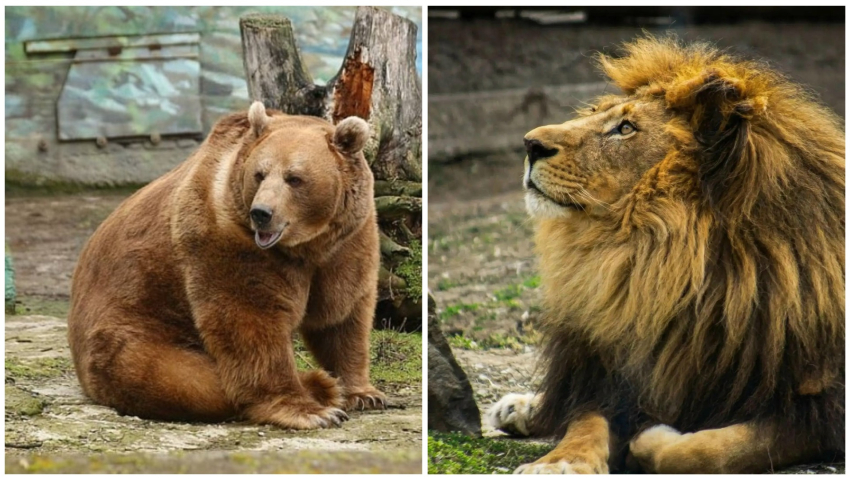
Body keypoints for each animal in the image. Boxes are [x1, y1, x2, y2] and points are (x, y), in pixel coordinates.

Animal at [68, 101, 386, 429]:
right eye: (260, 174)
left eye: (294, 177)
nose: (262, 213)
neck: (305, 246)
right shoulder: (225, 238)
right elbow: (251, 319)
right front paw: (313, 411)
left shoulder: (348, 241)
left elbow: (341, 314)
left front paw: (363, 393)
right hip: (132, 329)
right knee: (188, 381)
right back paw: (319, 385)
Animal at [486, 35, 845, 473]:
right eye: (595, 114)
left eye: (625, 128)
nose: (529, 144)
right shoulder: (619, 374)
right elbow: (586, 420)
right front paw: (557, 463)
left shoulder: (820, 407)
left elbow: (709, 451)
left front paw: (653, 437)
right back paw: (519, 407)